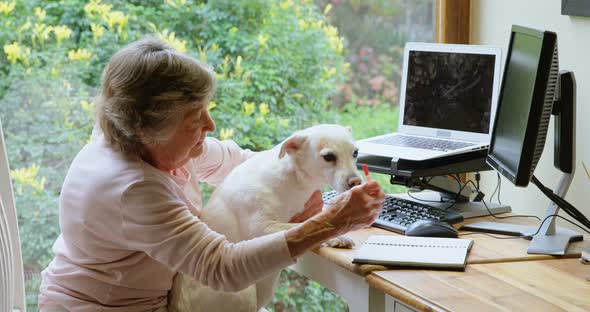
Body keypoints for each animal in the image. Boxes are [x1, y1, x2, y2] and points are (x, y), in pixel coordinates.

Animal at [169, 124, 364, 312]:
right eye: (328, 157)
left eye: (355, 153)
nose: (356, 182)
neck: (295, 178)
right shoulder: (262, 228)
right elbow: (303, 225)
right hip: (244, 291)